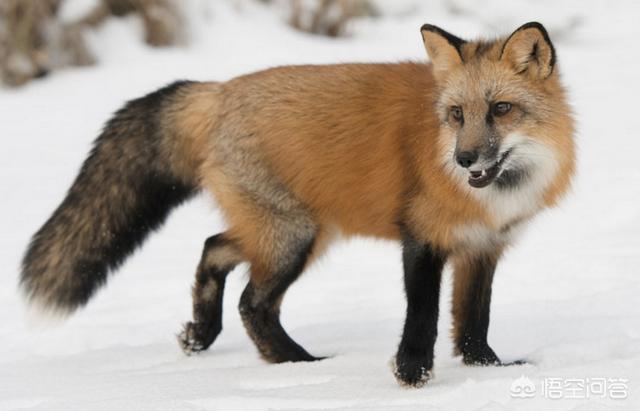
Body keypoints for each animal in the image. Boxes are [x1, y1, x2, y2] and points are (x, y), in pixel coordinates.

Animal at [20, 21, 576, 390]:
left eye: (501, 109)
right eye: (457, 114)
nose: (464, 160)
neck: (495, 195)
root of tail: (218, 91)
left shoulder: (483, 247)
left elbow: (474, 319)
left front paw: (488, 369)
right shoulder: (422, 238)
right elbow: (422, 315)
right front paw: (412, 374)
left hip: (289, 232)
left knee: (213, 249)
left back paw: (202, 334)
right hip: (294, 238)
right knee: (252, 302)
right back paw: (301, 366)